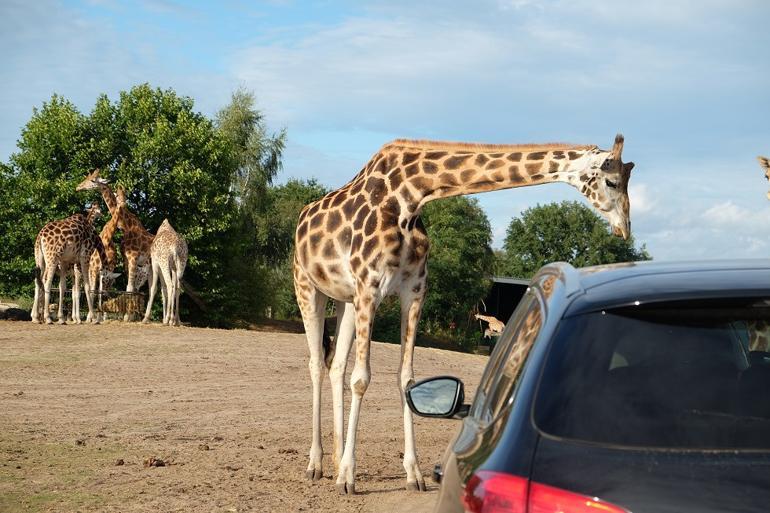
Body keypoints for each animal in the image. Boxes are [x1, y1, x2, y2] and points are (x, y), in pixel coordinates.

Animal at [292, 132, 632, 492]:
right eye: (612, 181)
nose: (624, 228)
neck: (410, 197)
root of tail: (301, 219)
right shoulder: (369, 287)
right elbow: (361, 379)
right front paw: (348, 477)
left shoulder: (413, 290)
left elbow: (405, 378)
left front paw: (412, 474)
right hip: (307, 285)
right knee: (316, 364)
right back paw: (316, 464)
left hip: (344, 298)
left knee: (335, 366)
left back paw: (335, 457)